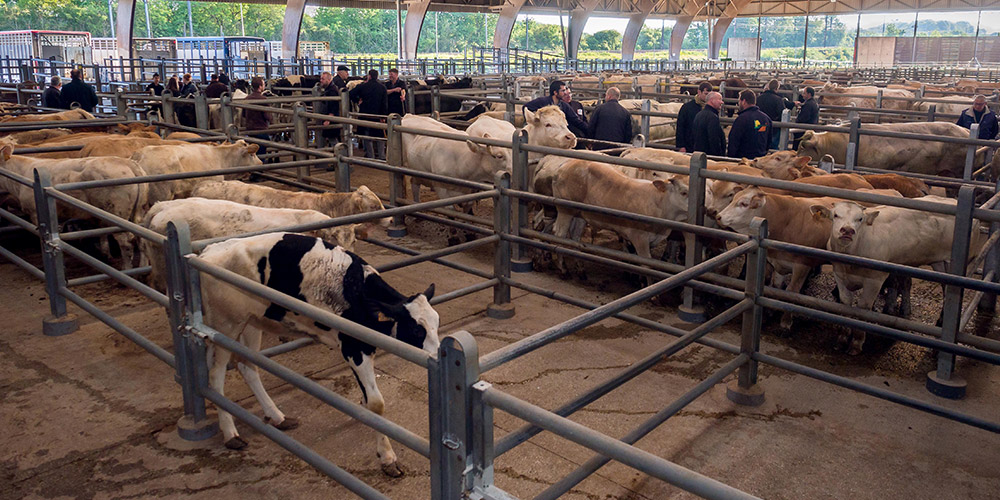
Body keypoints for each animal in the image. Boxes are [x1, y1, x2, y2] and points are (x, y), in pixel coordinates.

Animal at [197, 232, 440, 474]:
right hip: (226, 325)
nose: (437, 355)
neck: (358, 293)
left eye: (437, 322)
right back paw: (231, 433)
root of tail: (208, 252)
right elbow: (376, 404)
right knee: (216, 374)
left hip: (251, 323)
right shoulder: (354, 347)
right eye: (417, 330)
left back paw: (277, 417)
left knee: (247, 366)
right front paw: (388, 457)